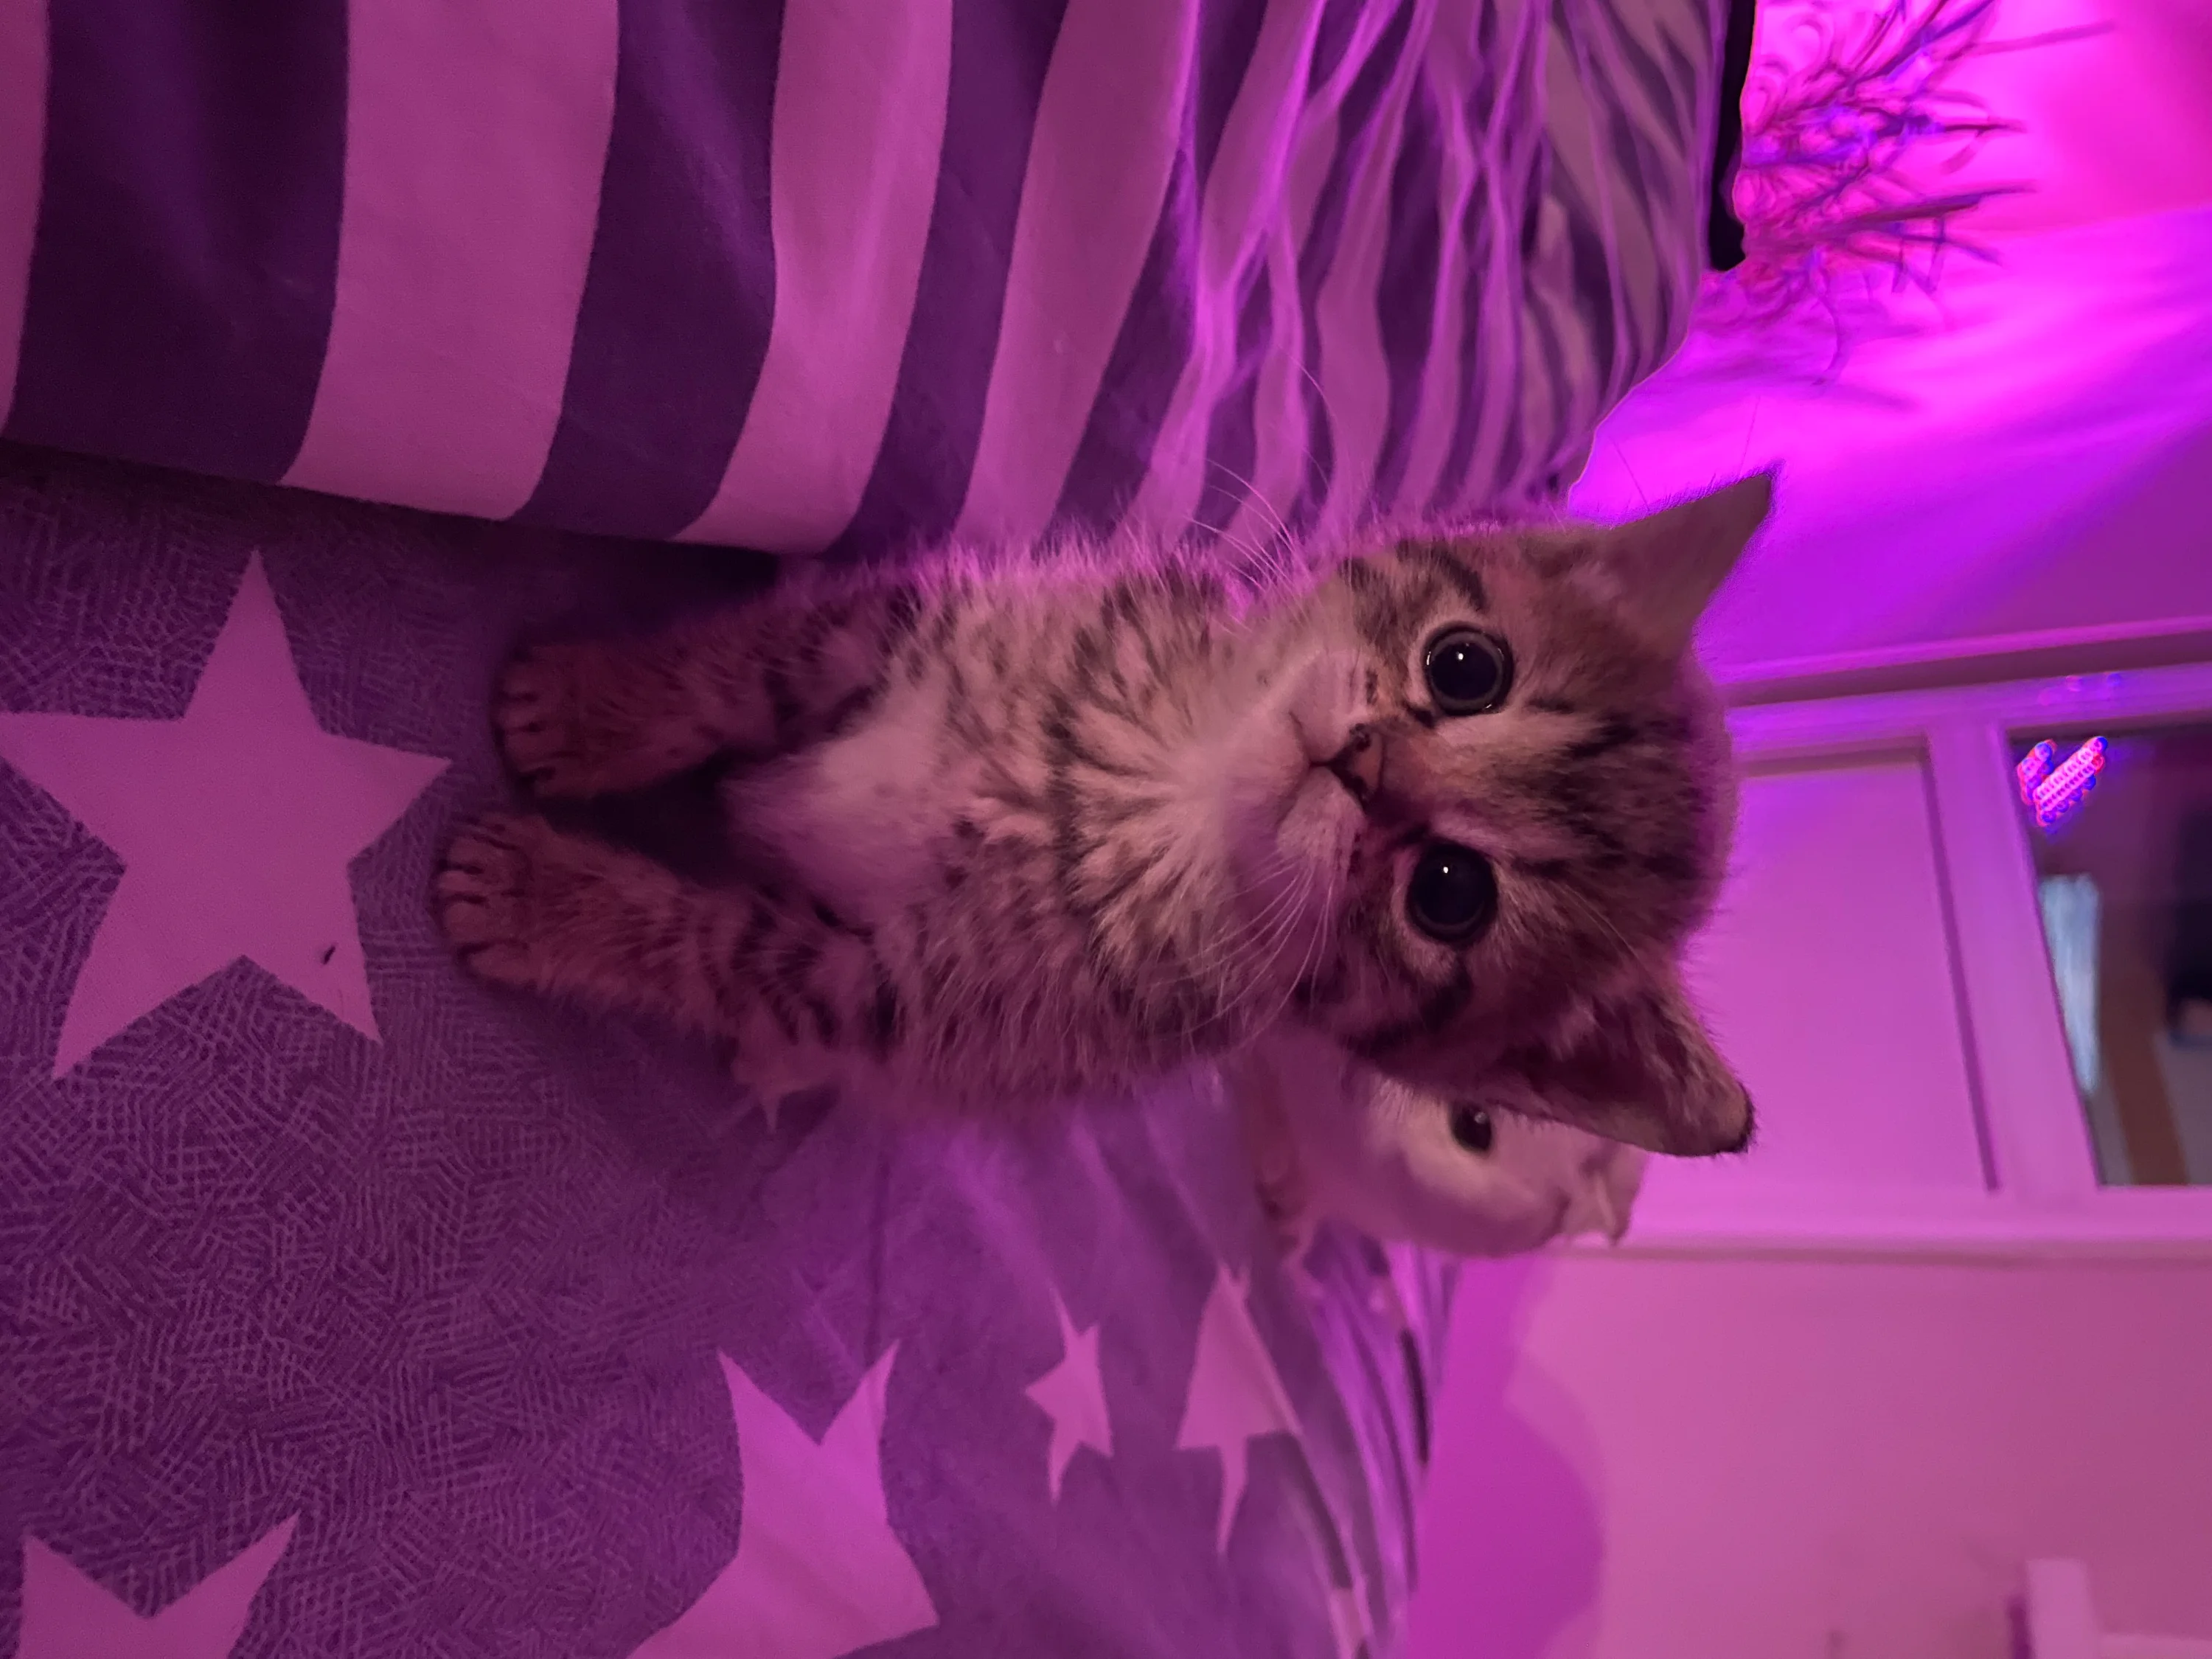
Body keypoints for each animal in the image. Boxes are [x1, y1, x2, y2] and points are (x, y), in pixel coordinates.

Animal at [435, 474, 1771, 1156]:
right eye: (1464, 667)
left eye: (1449, 892)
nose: (1365, 761)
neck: (1159, 790)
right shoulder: (897, 624)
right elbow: (739, 672)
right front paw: (592, 709)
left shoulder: (886, 994)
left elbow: (715, 949)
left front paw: (545, 900)